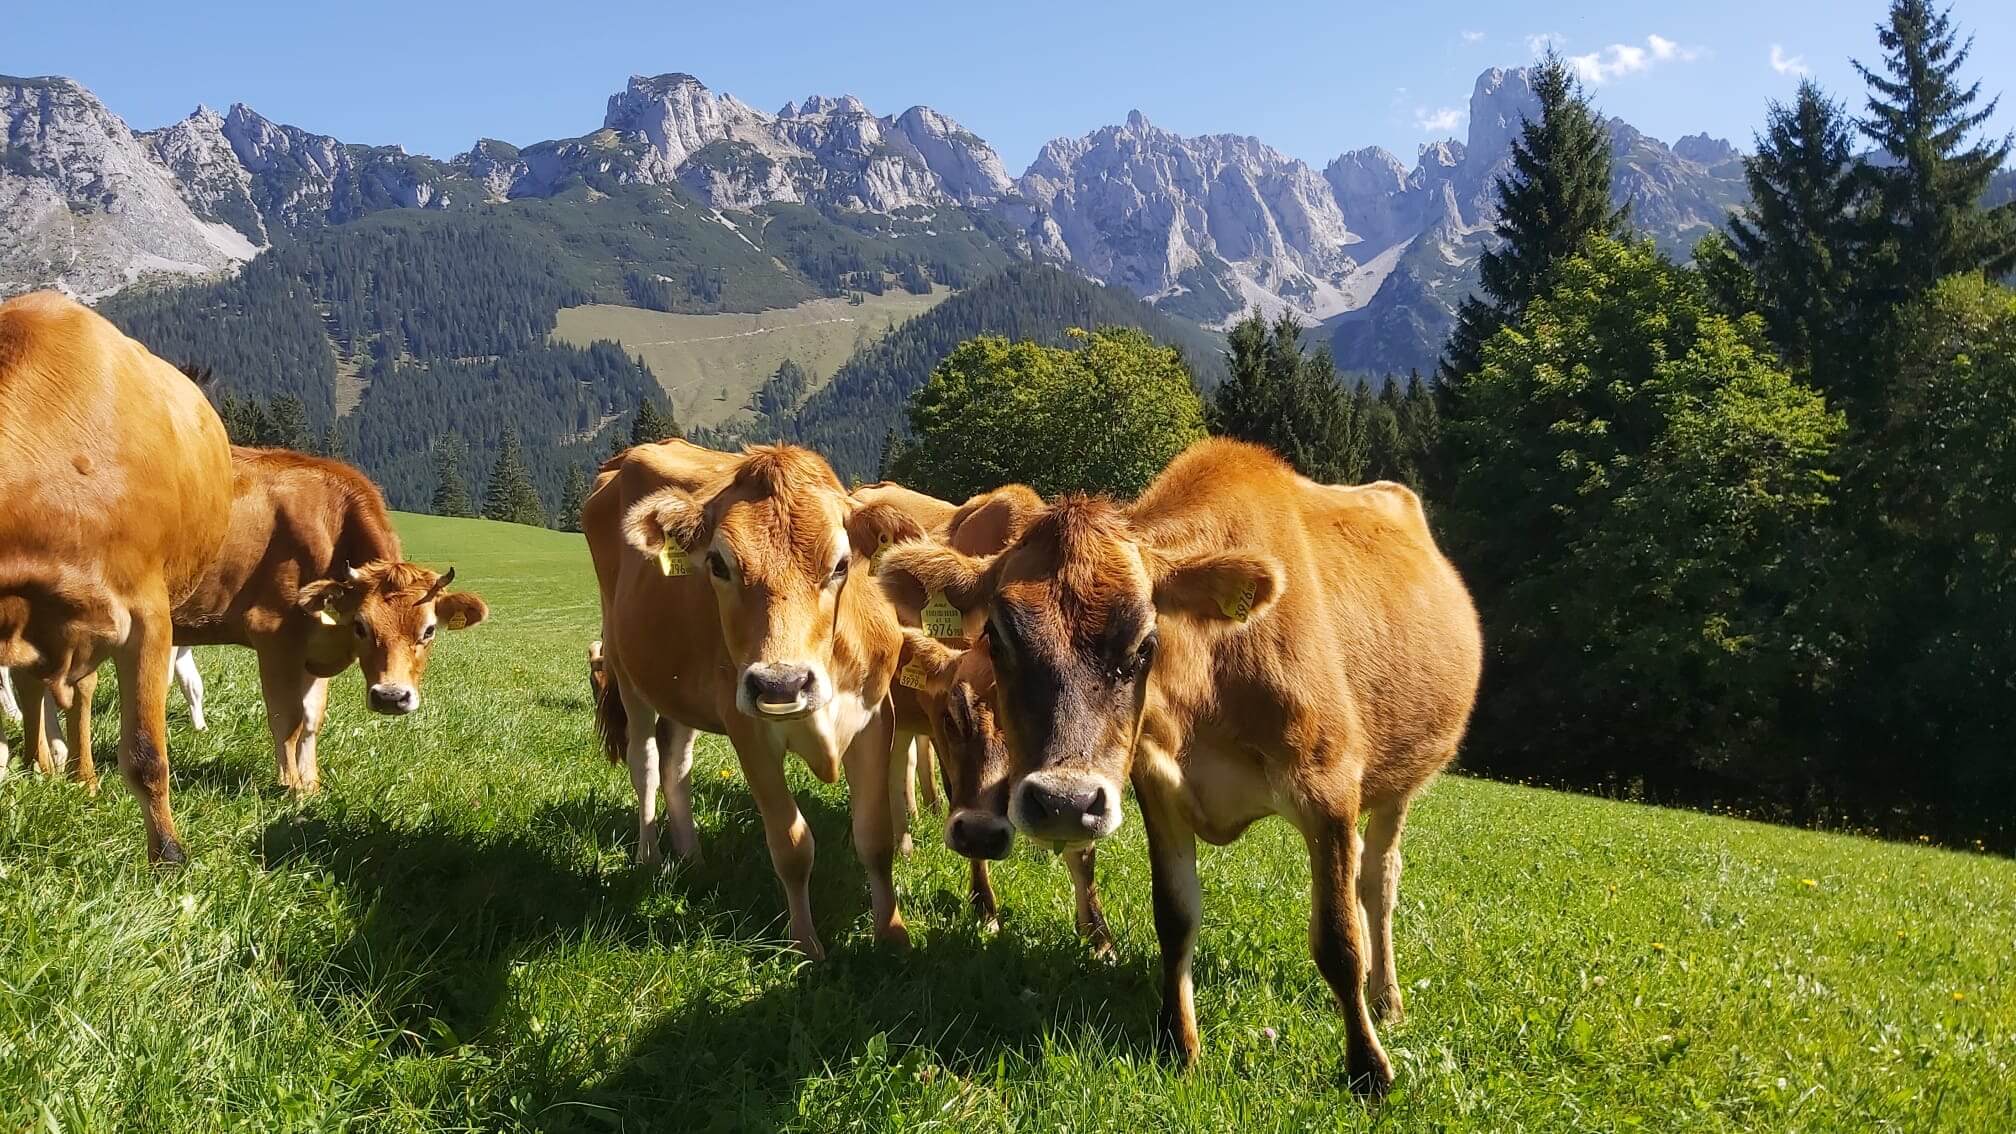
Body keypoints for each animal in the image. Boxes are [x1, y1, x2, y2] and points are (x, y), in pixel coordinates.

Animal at [0, 292, 234, 861]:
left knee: (78, 695)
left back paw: (82, 777)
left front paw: (168, 856)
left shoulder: (148, 616)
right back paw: (42, 766)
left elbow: (147, 753)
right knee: (39, 691)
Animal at [585, 439, 926, 958]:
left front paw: (892, 936)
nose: (781, 684)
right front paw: (805, 946)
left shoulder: (873, 718)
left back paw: (692, 856)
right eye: (718, 564)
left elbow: (874, 836)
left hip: (680, 688)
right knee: (644, 762)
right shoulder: (748, 729)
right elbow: (792, 844)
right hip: (627, 671)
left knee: (676, 761)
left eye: (841, 565)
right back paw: (650, 857)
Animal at [877, 439, 1482, 1094]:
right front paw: (1180, 1044)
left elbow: (1340, 941)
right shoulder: (1158, 790)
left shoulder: (1329, 792)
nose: (1063, 801)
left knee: (1379, 881)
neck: (1213, 681)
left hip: (1401, 781)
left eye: (1146, 643)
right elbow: (1174, 917)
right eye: (996, 636)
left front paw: (1368, 1067)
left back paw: (1388, 1000)